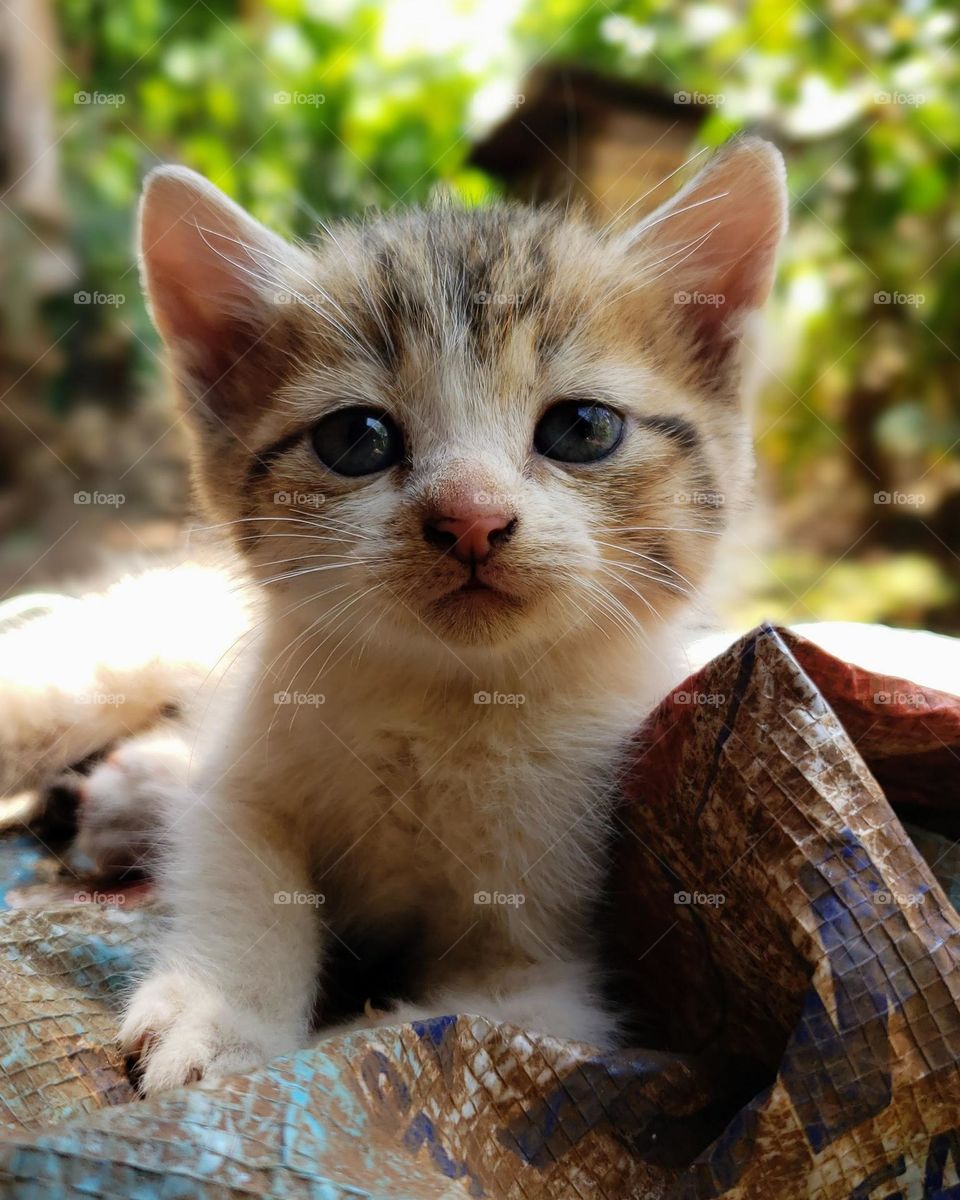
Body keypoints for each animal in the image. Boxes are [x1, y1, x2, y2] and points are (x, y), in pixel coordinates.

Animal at [75, 136, 782, 1094]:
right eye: (357, 439)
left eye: (583, 428)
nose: (471, 517)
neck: (446, 703)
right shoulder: (249, 773)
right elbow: (239, 865)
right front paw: (222, 1014)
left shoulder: (548, 975)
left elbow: (444, 1021)